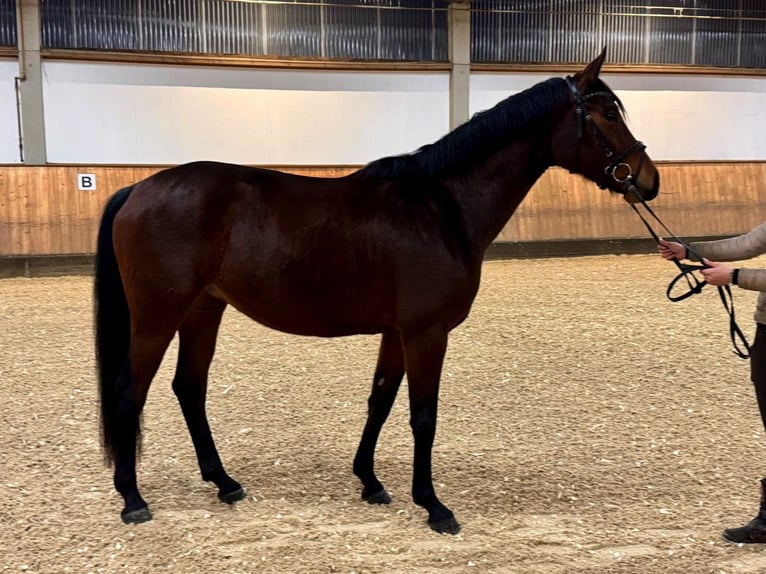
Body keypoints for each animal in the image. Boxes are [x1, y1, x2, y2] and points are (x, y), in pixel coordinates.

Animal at [94, 48, 660, 536]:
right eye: (607, 113)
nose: (648, 180)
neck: (441, 208)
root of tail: (138, 188)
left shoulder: (396, 332)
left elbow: (380, 400)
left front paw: (370, 482)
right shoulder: (427, 333)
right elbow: (423, 415)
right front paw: (433, 505)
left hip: (203, 311)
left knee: (189, 388)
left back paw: (225, 483)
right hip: (158, 316)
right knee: (129, 390)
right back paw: (133, 499)